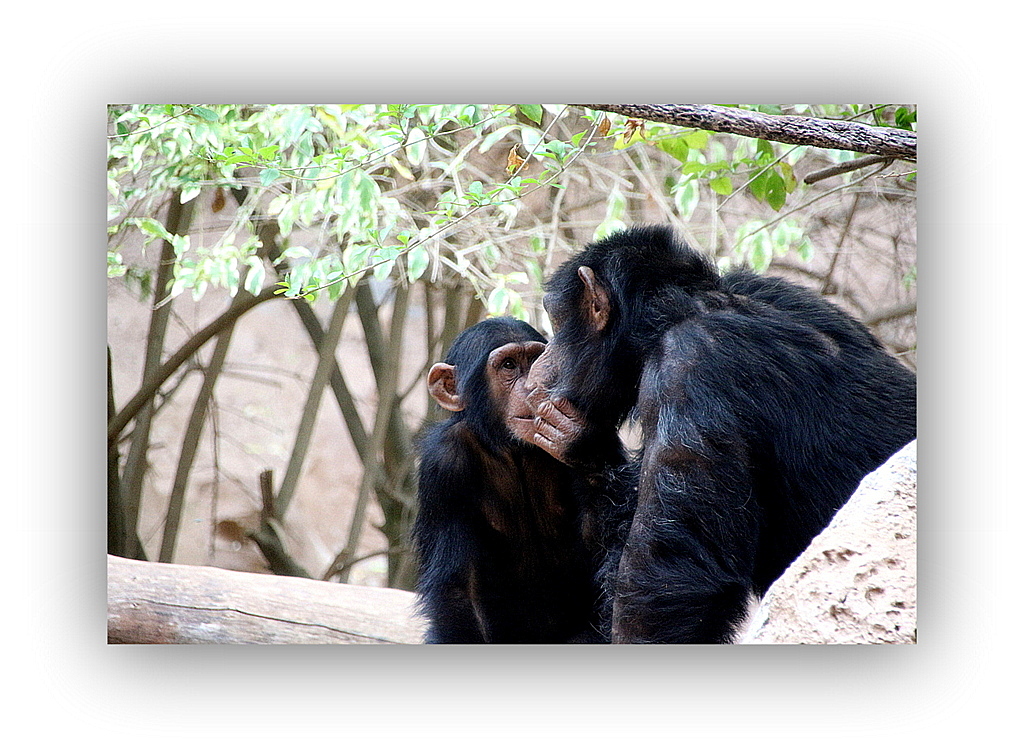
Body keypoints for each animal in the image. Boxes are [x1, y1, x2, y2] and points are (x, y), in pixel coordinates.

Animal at [409, 317, 618, 643]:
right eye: (509, 365)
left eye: (534, 360)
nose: (534, 384)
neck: (512, 448)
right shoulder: (442, 463)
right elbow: (458, 589)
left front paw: (579, 443)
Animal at [524, 223, 917, 643]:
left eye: (556, 322)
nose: (539, 363)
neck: (680, 313)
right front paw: (584, 446)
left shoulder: (687, 371)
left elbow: (666, 574)